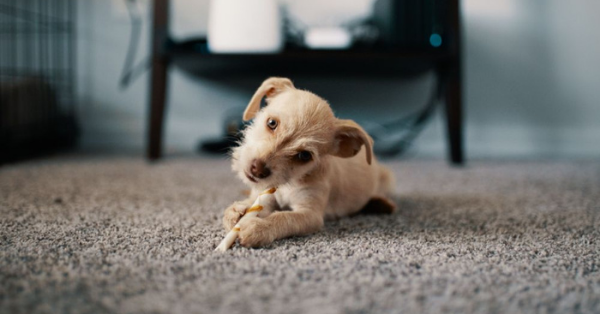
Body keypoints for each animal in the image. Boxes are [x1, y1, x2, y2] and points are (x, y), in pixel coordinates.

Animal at [223, 76, 396, 248]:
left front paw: (258, 227)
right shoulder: (265, 197)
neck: (288, 184)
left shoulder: (310, 214)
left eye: (304, 155)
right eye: (271, 123)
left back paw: (380, 203)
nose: (257, 170)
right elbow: (254, 204)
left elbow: (284, 218)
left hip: (386, 178)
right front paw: (238, 210)